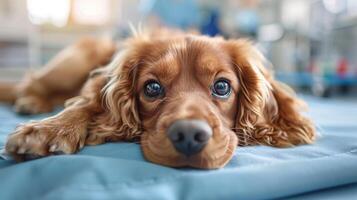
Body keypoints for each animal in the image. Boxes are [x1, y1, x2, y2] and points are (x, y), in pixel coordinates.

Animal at [0, 29, 312, 169]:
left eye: (222, 86)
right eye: (152, 88)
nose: (189, 135)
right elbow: (86, 104)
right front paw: (47, 129)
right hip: (74, 63)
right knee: (30, 81)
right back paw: (31, 101)